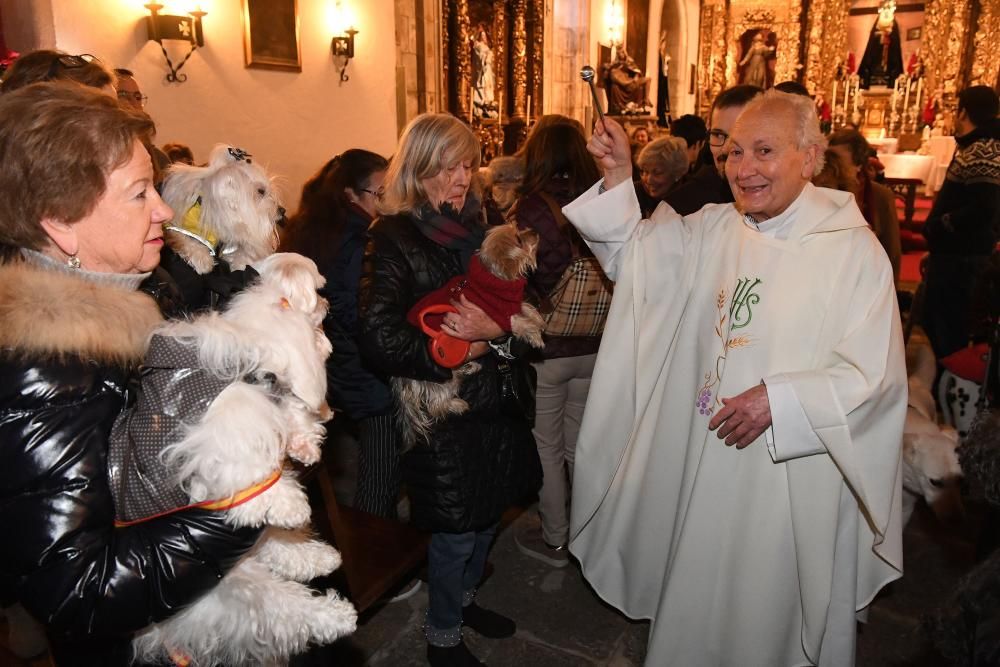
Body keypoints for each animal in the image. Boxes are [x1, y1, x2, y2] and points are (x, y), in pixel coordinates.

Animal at [112, 253, 356, 664]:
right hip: (236, 590)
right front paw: (289, 503)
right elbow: (249, 473)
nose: (327, 304)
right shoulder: (217, 422)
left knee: (276, 548)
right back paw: (337, 616)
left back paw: (319, 558)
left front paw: (303, 443)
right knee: (287, 607)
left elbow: (286, 416)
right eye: (318, 289)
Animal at [394, 222, 544, 446]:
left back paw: (469, 367)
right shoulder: (494, 313)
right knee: (437, 405)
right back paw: (456, 405)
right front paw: (534, 335)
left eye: (519, 228)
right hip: (441, 378)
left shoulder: (508, 306)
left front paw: (538, 320)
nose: (534, 231)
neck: (495, 279)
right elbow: (518, 322)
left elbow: (525, 307)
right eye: (518, 239)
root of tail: (401, 377)